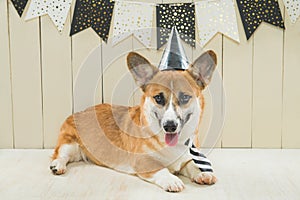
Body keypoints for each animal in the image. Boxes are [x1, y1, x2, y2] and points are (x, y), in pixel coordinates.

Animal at [49, 50, 218, 192]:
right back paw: (57, 166)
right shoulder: (143, 161)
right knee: (60, 155)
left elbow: (194, 165)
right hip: (69, 144)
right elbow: (161, 169)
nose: (170, 126)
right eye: (158, 98)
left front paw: (203, 174)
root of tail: (80, 111)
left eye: (185, 97)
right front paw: (172, 180)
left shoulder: (185, 159)